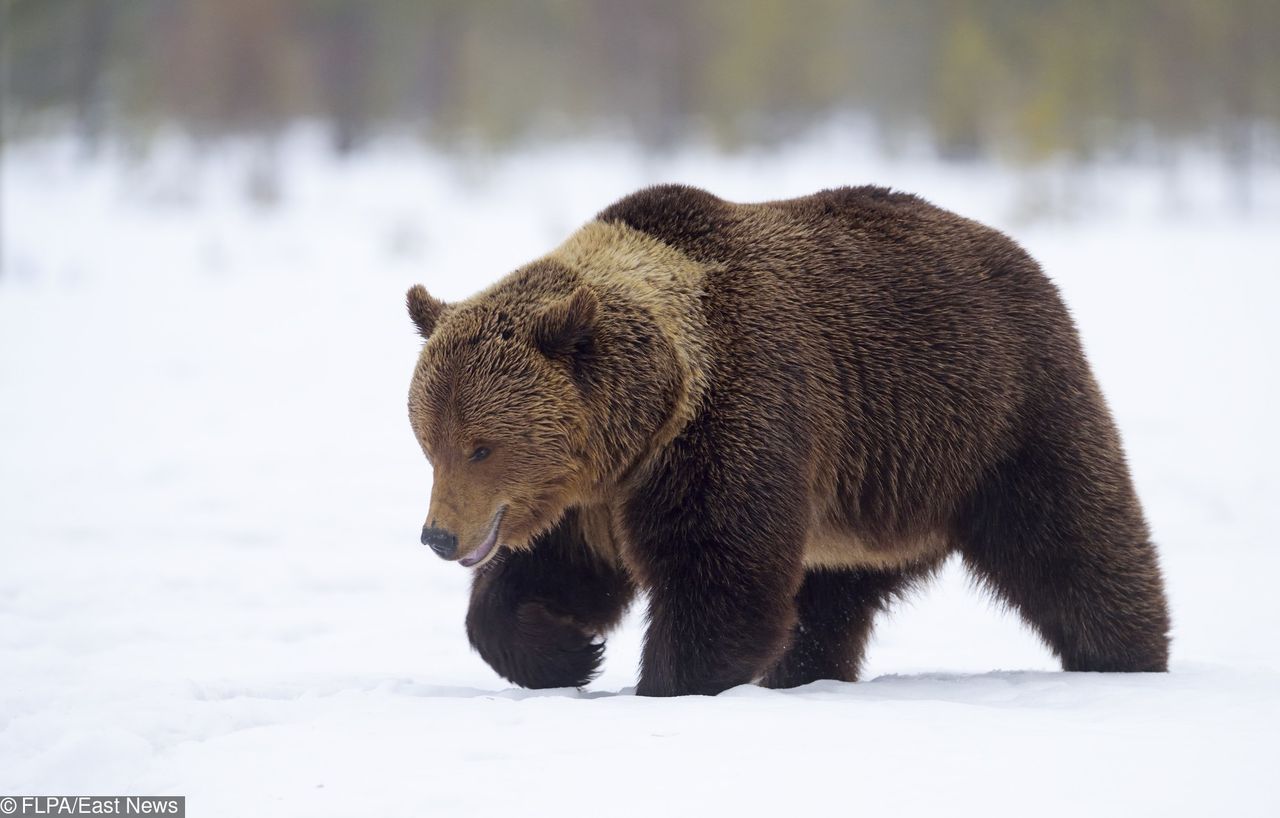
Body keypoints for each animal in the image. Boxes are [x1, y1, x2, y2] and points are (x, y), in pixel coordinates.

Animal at [407, 185, 1172, 696]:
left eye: (481, 444)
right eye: (429, 441)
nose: (439, 536)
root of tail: (1019, 253)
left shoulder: (735, 421)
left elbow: (720, 579)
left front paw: (666, 681)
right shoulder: (586, 498)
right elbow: (546, 579)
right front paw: (570, 651)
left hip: (997, 416)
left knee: (1073, 540)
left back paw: (1127, 656)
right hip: (861, 508)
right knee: (830, 606)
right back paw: (805, 676)